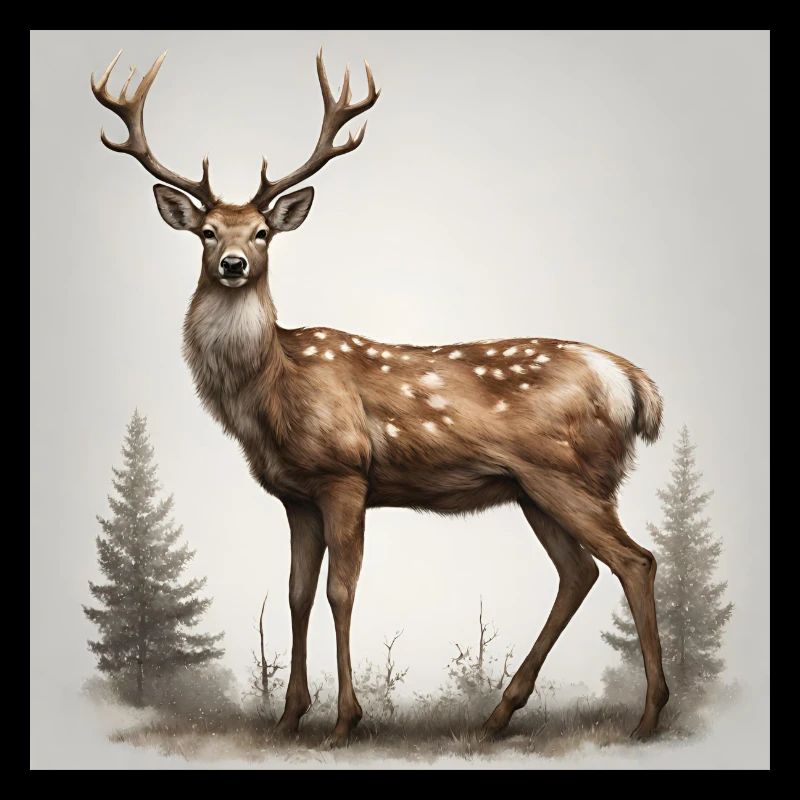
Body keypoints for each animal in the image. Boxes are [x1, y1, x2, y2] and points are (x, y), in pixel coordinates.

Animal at [91, 49, 669, 747]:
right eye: (205, 231)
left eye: (261, 232)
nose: (232, 264)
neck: (270, 392)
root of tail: (632, 381)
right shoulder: (295, 495)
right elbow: (297, 594)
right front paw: (289, 717)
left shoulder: (346, 474)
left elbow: (341, 591)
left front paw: (344, 720)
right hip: (534, 488)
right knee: (579, 572)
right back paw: (499, 715)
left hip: (570, 473)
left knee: (635, 561)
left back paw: (648, 716)